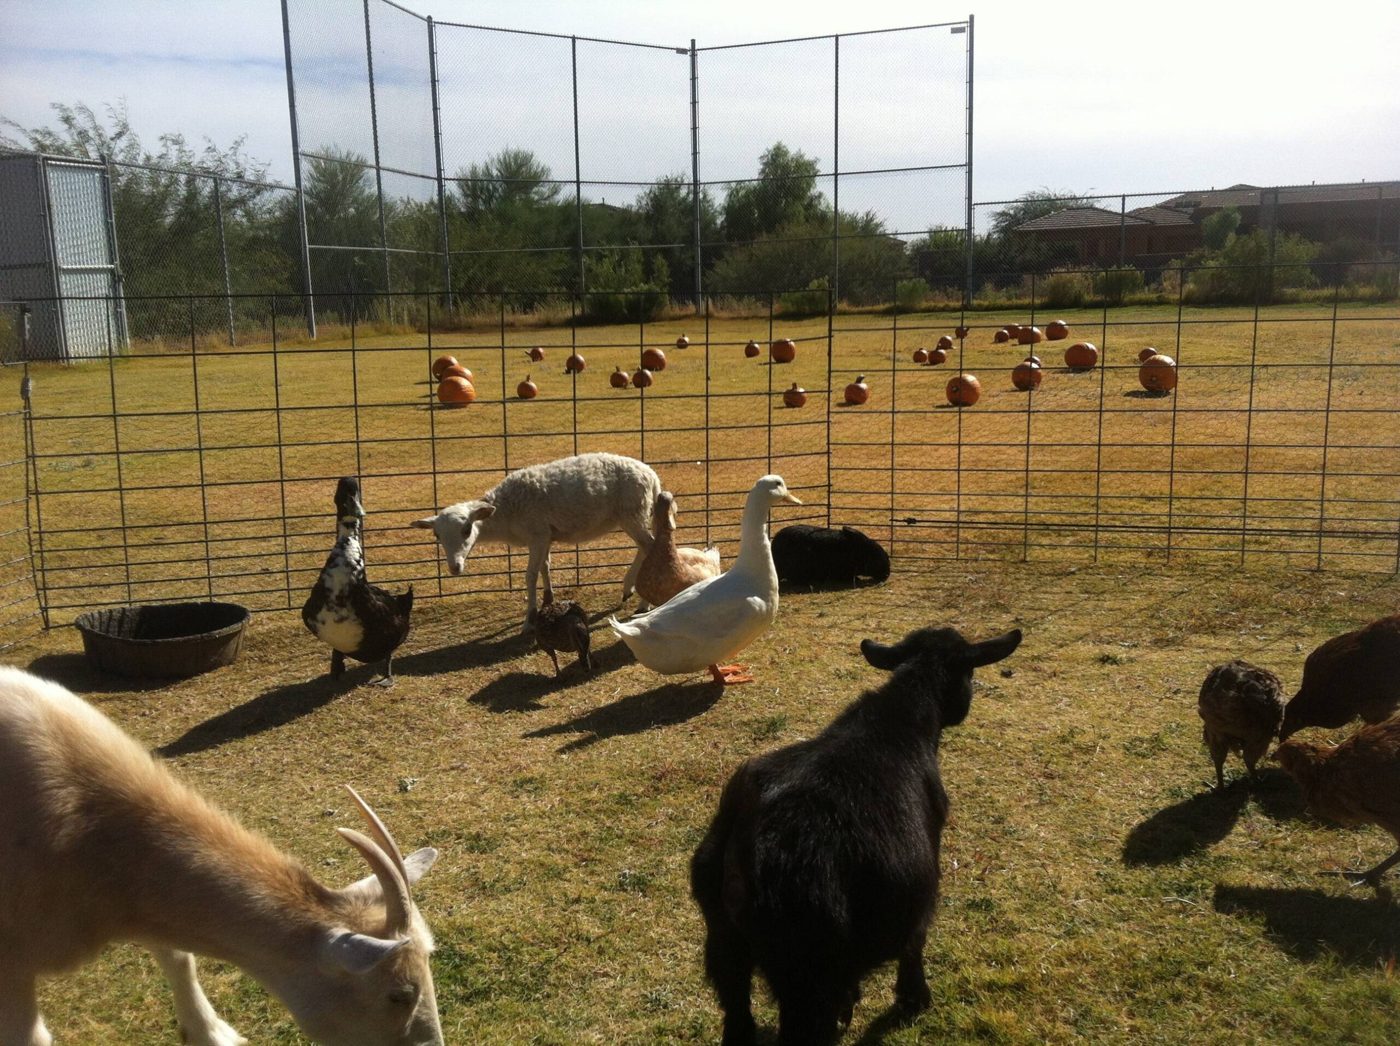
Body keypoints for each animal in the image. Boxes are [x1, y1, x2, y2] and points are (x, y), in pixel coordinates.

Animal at [411, 452, 659, 628]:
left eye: (466, 529)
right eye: (437, 536)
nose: (455, 567)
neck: (506, 512)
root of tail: (651, 475)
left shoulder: (537, 534)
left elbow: (530, 575)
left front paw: (529, 618)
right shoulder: (546, 535)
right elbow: (545, 566)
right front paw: (548, 599)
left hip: (632, 512)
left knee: (649, 545)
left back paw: (642, 602)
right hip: (633, 514)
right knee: (645, 546)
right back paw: (628, 588)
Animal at [690, 623, 1022, 1045]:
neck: (904, 717)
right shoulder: (923, 890)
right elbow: (915, 944)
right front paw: (914, 1000)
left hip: (725, 946)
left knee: (737, 1015)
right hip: (806, 974)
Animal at [1197, 659, 1285, 789]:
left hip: (1218, 731)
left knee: (1220, 759)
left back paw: (1223, 786)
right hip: (1259, 734)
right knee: (1248, 759)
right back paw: (1256, 782)